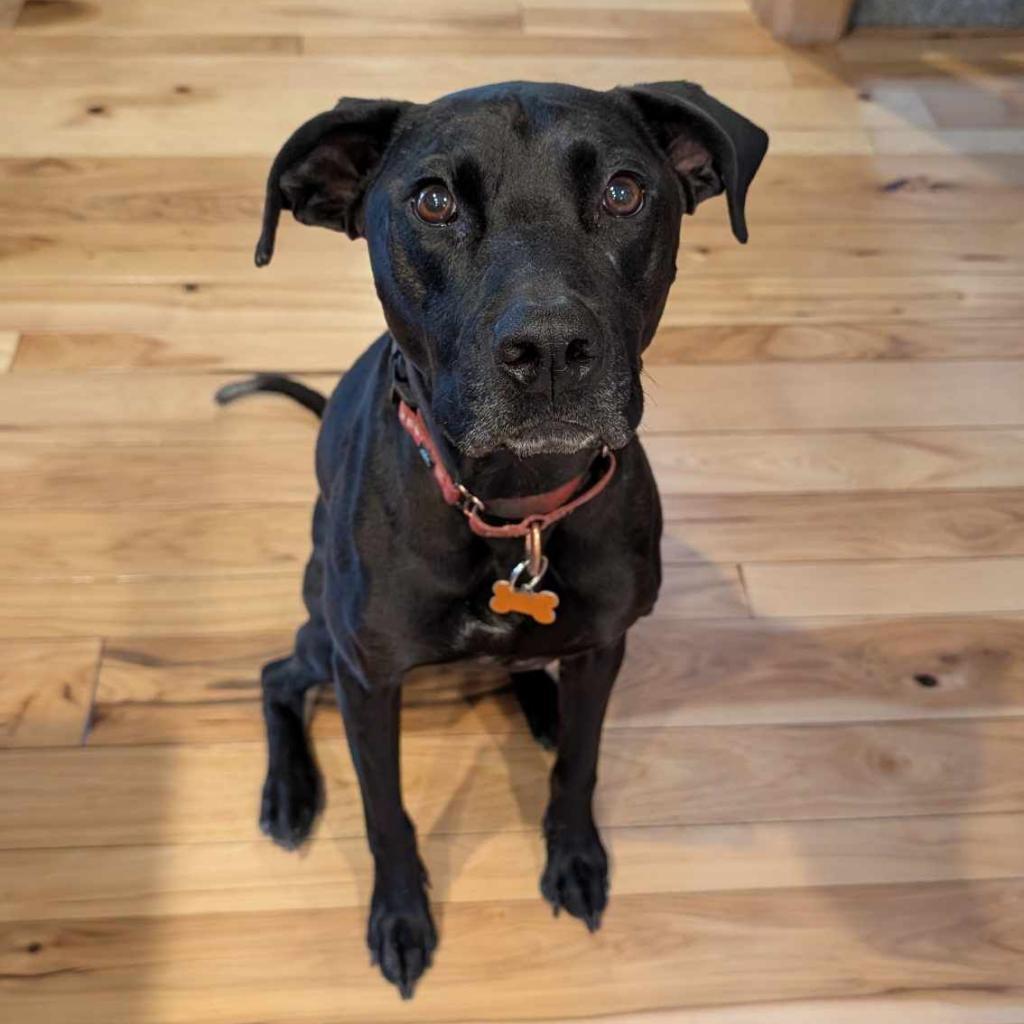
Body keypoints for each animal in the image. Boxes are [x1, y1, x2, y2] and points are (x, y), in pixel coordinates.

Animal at [220, 81, 765, 999]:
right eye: (434, 201)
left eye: (624, 190)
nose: (549, 350)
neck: (516, 508)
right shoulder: (367, 678)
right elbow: (385, 811)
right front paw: (401, 917)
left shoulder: (607, 644)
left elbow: (580, 763)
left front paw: (575, 855)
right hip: (322, 633)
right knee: (276, 677)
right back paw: (290, 793)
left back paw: (535, 694)